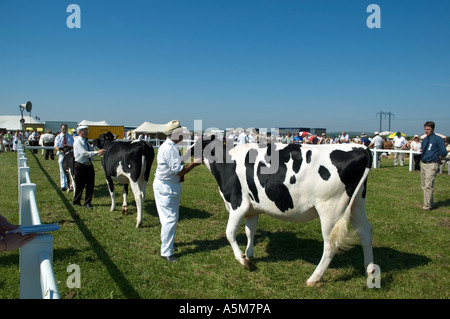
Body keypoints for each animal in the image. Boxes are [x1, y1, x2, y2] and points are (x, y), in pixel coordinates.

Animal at [188, 136, 374, 286]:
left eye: (196, 143)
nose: (187, 153)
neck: (226, 163)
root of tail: (361, 149)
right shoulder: (253, 209)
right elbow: (250, 231)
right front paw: (249, 255)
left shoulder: (238, 204)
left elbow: (229, 233)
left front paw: (243, 260)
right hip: (357, 204)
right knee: (365, 233)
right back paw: (370, 271)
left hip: (331, 210)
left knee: (331, 245)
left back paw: (313, 278)